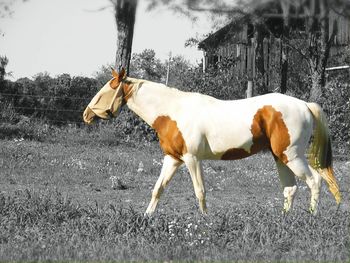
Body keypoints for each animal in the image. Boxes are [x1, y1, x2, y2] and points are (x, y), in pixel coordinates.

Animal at [83, 68, 340, 217]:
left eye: (106, 91)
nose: (86, 115)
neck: (174, 111)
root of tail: (305, 104)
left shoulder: (192, 159)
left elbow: (200, 191)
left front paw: (206, 220)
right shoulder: (172, 159)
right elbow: (158, 189)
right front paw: (147, 217)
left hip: (292, 156)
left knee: (315, 181)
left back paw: (312, 216)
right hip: (280, 157)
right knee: (290, 188)